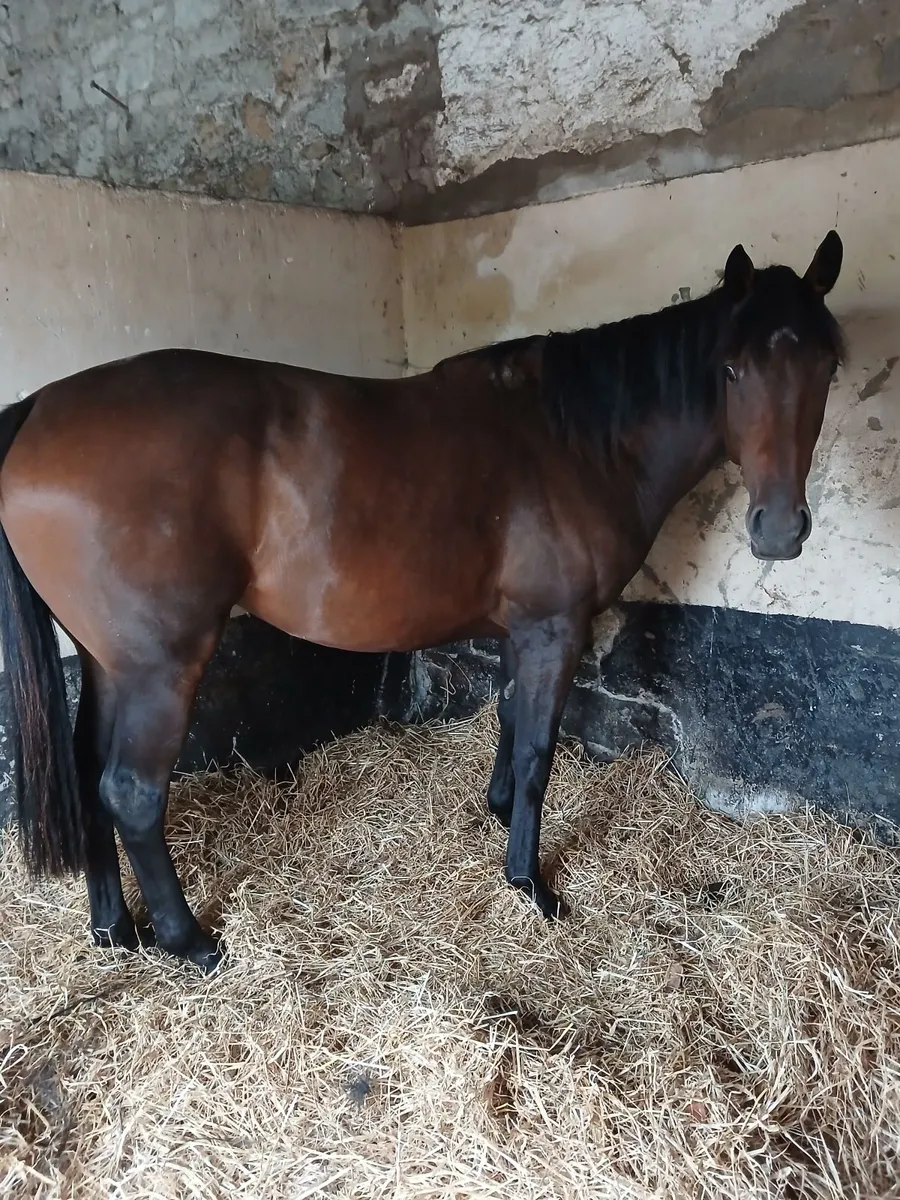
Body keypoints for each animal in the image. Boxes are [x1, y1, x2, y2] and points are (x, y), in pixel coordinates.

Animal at [0, 232, 844, 972]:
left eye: (828, 366)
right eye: (730, 368)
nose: (778, 529)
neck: (575, 441)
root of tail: (39, 409)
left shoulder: (521, 627)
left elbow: (508, 717)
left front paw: (499, 812)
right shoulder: (556, 626)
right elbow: (538, 747)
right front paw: (530, 885)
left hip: (109, 663)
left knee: (87, 774)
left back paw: (114, 928)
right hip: (160, 667)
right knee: (132, 793)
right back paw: (190, 943)